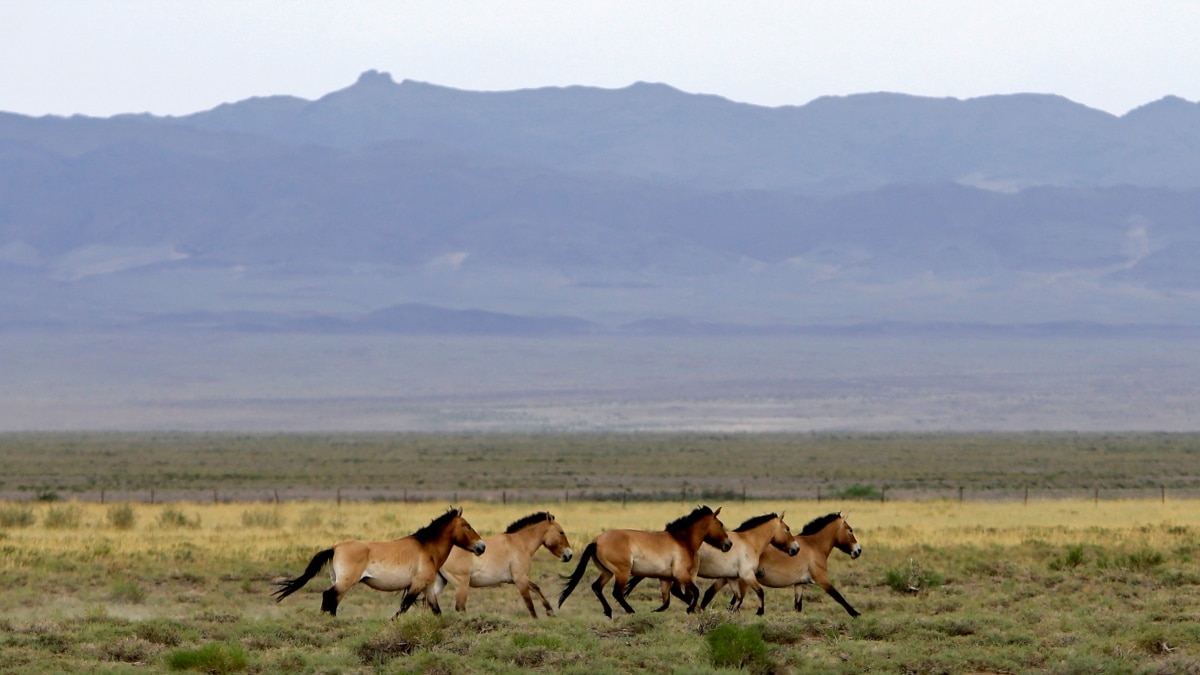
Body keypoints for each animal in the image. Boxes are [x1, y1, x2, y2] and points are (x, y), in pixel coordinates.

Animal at [274, 504, 484, 614]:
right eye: (467, 526)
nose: (482, 547)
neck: (427, 548)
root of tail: (334, 548)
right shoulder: (416, 585)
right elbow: (403, 607)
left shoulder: (428, 587)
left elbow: (436, 610)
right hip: (345, 582)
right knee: (329, 596)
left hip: (339, 581)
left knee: (332, 600)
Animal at [427, 509, 571, 614]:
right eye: (561, 532)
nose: (569, 555)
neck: (519, 544)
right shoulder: (520, 579)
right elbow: (529, 604)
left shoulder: (516, 579)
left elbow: (536, 587)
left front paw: (550, 611)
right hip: (461, 585)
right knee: (460, 608)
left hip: (440, 583)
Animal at [554, 502, 729, 619]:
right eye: (721, 524)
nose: (729, 544)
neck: (682, 541)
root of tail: (596, 541)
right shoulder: (680, 575)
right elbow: (694, 592)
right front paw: (691, 609)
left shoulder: (666, 578)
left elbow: (669, 600)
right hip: (622, 572)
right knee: (616, 592)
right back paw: (630, 611)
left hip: (607, 572)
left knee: (597, 587)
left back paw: (609, 612)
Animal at [700, 509, 864, 614]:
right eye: (850, 530)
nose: (858, 551)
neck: (814, 545)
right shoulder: (822, 580)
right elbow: (839, 597)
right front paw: (856, 613)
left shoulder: (799, 585)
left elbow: (798, 607)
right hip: (743, 581)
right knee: (733, 602)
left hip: (727, 576)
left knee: (710, 593)